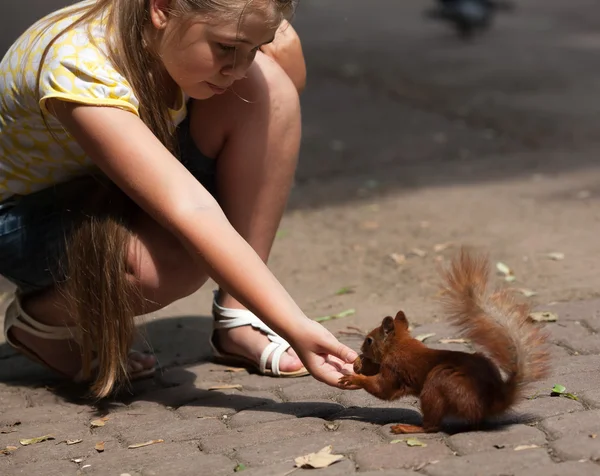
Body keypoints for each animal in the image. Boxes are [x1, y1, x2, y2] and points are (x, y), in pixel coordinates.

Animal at [340, 247, 552, 434]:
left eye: (369, 340)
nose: (361, 348)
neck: (399, 344)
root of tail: (493, 401)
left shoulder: (394, 366)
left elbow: (383, 389)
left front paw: (354, 377)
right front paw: (359, 364)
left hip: (437, 384)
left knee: (432, 427)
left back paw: (408, 428)